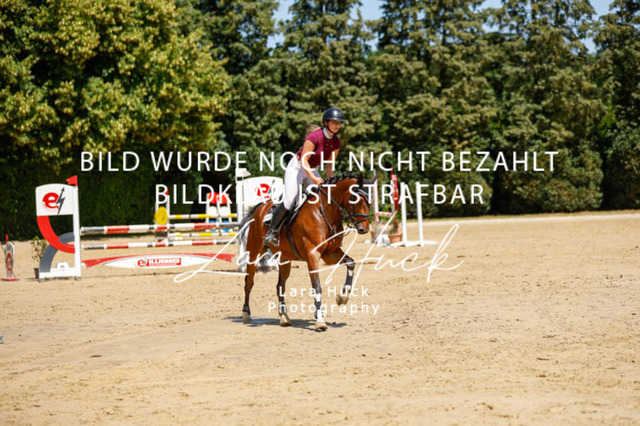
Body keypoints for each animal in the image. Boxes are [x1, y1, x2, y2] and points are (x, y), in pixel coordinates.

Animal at [237, 173, 378, 331]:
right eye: (356, 199)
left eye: (370, 201)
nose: (364, 229)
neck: (325, 212)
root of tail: (260, 207)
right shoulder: (313, 256)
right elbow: (317, 287)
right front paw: (320, 321)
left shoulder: (331, 253)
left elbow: (351, 263)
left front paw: (342, 297)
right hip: (254, 253)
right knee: (249, 283)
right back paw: (246, 314)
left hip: (284, 258)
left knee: (280, 285)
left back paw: (284, 317)